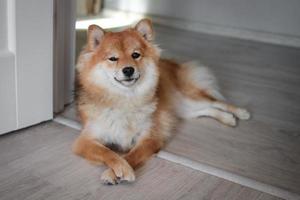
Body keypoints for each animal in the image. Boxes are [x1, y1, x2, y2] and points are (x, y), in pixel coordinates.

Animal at [72, 18, 251, 184]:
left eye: (135, 55)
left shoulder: (149, 138)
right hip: (184, 109)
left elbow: (131, 155)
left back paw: (240, 113)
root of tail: (171, 63)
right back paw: (227, 118)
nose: (128, 69)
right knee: (206, 110)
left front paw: (116, 172)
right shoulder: (85, 141)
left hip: (188, 98)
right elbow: (108, 153)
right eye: (113, 58)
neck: (126, 99)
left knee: (215, 102)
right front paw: (119, 168)